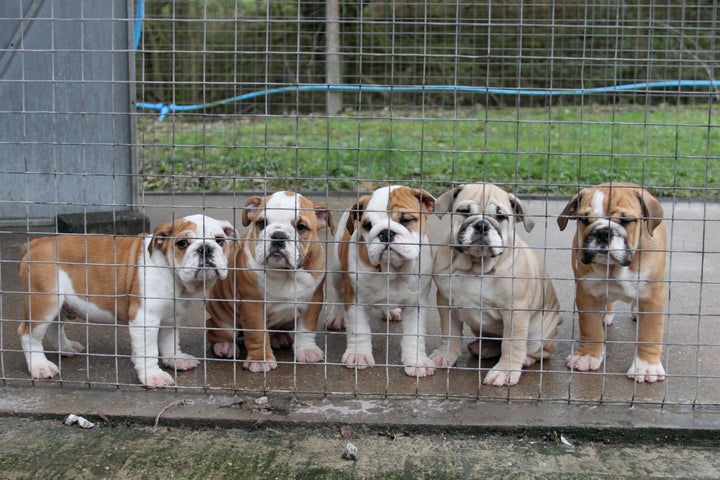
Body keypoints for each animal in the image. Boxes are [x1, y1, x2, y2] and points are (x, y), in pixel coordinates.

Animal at [17, 216, 236, 388]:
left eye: (219, 240)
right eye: (182, 243)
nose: (205, 249)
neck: (171, 274)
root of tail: (33, 244)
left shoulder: (170, 317)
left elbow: (169, 342)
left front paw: (176, 359)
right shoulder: (145, 319)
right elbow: (148, 351)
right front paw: (153, 376)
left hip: (62, 304)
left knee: (55, 328)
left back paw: (66, 348)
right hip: (45, 301)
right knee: (29, 335)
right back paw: (40, 366)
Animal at [205, 191, 332, 372]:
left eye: (301, 227)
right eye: (261, 223)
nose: (278, 235)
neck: (285, 273)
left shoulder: (313, 301)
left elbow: (307, 328)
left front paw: (307, 350)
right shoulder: (253, 304)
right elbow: (257, 333)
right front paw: (261, 360)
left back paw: (280, 337)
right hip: (223, 318)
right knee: (216, 330)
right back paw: (225, 346)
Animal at [328, 186, 438, 376]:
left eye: (406, 220)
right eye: (367, 225)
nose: (386, 232)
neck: (391, 270)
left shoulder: (416, 304)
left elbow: (414, 334)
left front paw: (416, 361)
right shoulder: (355, 299)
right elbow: (359, 329)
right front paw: (359, 355)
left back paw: (391, 311)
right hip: (336, 271)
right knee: (337, 293)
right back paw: (336, 316)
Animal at [428, 183, 564, 386]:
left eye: (501, 216)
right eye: (463, 212)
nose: (482, 224)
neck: (476, 266)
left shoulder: (515, 312)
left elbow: (512, 343)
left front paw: (505, 371)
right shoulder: (446, 303)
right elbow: (450, 332)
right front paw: (445, 355)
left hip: (540, 332)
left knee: (539, 351)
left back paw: (525, 358)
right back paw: (484, 348)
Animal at [556, 182, 668, 384]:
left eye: (626, 221)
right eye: (585, 220)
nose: (603, 232)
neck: (614, 268)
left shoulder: (652, 296)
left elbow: (650, 332)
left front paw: (646, 367)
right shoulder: (587, 293)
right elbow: (590, 328)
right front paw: (588, 356)